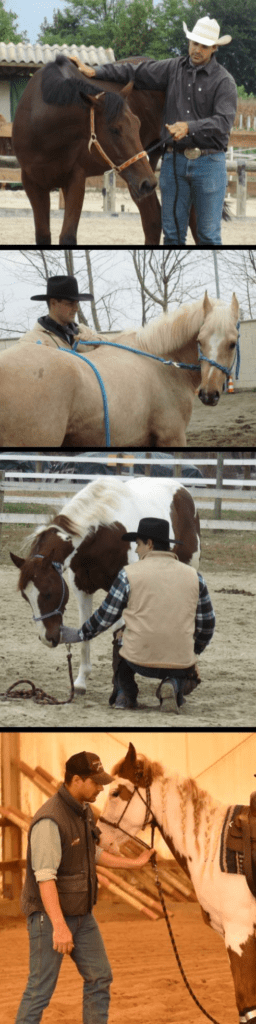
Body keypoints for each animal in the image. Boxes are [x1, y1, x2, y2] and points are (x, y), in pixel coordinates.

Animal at [9, 475, 199, 692]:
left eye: (48, 593)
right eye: (26, 596)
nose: (47, 638)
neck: (101, 535)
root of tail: (182, 490)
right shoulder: (83, 590)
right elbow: (86, 630)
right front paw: (81, 681)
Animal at [12, 56, 156, 245]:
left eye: (137, 124)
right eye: (114, 130)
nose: (149, 183)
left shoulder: (76, 180)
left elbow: (67, 236)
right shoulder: (33, 184)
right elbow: (43, 236)